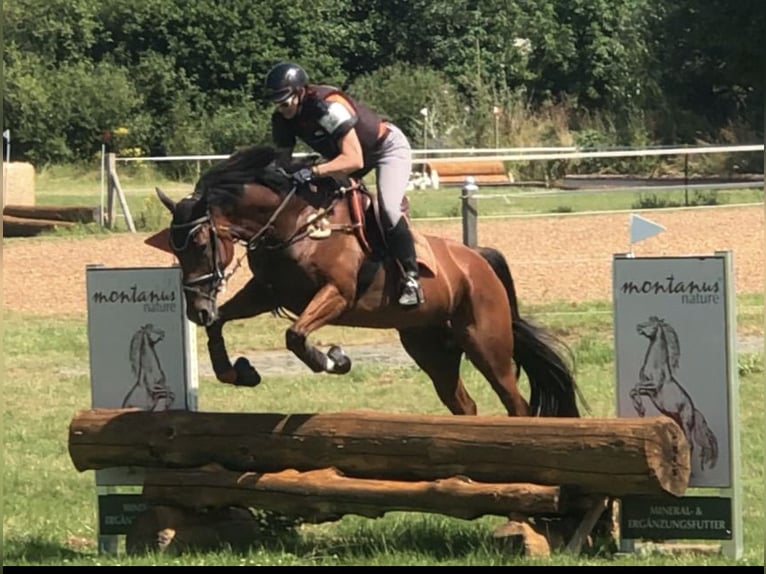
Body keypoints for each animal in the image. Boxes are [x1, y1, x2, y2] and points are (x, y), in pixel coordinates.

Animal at [153, 145, 584, 418]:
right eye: (174, 247)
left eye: (200, 242)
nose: (196, 309)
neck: (292, 223)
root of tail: (478, 260)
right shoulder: (265, 292)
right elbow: (224, 323)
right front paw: (238, 372)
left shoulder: (337, 295)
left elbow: (295, 336)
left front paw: (333, 359)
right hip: (430, 348)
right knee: (463, 403)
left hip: (486, 344)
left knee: (515, 403)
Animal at [632, 318, 720, 474]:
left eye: (652, 324)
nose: (638, 326)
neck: (656, 366)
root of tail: (694, 410)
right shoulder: (648, 390)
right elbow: (633, 390)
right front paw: (640, 410)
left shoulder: (653, 387)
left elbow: (636, 387)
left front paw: (641, 410)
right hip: (677, 420)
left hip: (685, 422)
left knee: (690, 444)